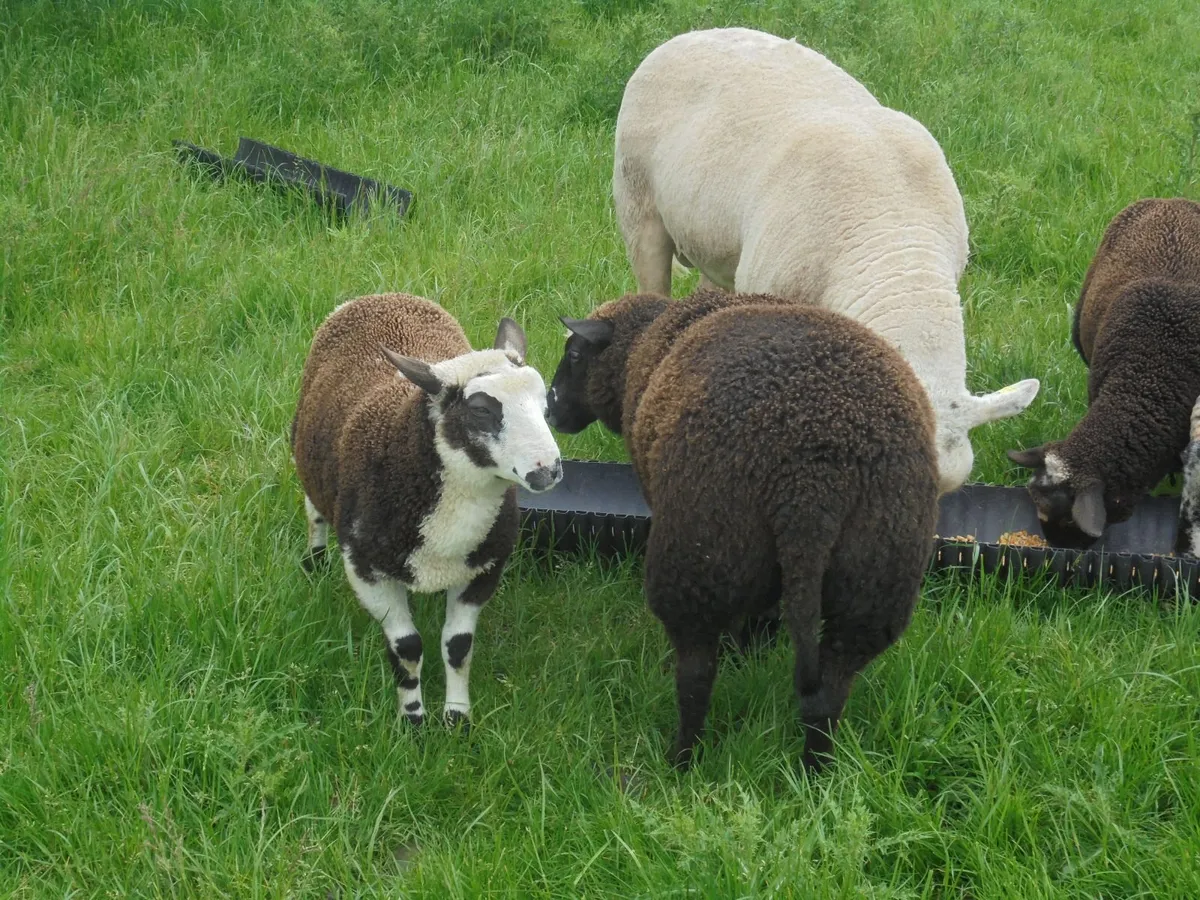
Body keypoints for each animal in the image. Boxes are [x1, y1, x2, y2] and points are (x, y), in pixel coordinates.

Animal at [291, 293, 563, 727]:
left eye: (544, 404)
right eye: (481, 410)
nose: (548, 471)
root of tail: (380, 296)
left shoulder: (483, 567)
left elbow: (458, 646)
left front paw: (456, 718)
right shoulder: (366, 571)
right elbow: (407, 648)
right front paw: (413, 721)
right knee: (314, 509)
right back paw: (313, 559)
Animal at [546, 288, 939, 772]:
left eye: (575, 354)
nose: (549, 410)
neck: (644, 345)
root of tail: (813, 486)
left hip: (703, 554)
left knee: (696, 676)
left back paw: (680, 760)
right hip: (876, 578)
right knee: (829, 690)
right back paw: (815, 773)